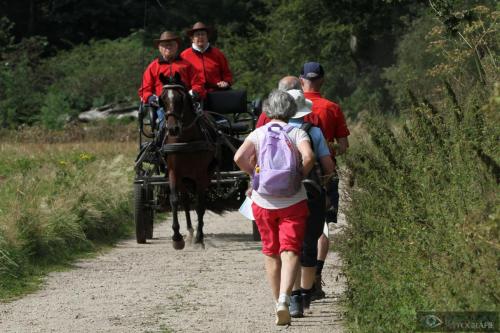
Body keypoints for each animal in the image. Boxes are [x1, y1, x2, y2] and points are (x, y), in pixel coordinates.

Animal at [159, 73, 216, 249]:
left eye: (181, 98)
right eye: (162, 99)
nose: (172, 129)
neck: (184, 140)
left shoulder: (200, 174)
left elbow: (199, 205)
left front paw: (200, 237)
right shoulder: (173, 172)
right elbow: (175, 200)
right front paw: (177, 237)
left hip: (205, 175)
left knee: (200, 202)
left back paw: (197, 233)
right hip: (183, 178)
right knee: (184, 200)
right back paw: (190, 232)